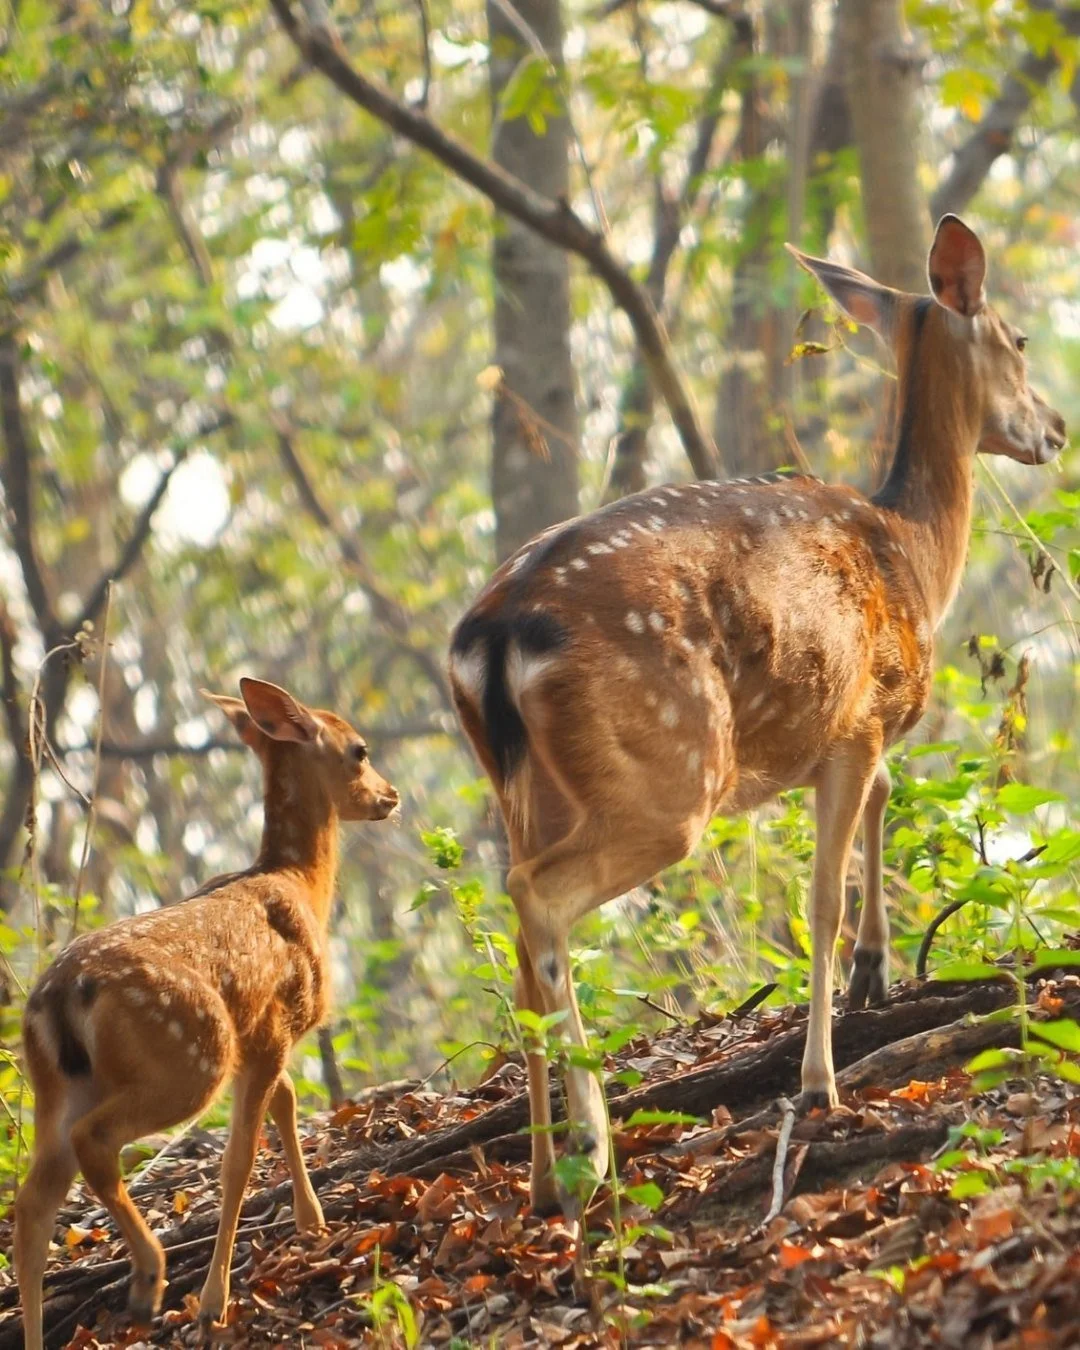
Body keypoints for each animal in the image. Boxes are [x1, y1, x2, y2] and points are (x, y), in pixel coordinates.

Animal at [14, 678, 399, 1349]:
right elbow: (238, 1160)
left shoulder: (261, 1037)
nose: (390, 796)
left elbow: (286, 1102)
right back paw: (150, 1278)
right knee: (95, 1144)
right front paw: (213, 1303)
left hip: (59, 1086)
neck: (300, 884)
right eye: (360, 750)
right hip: (190, 1059)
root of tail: (62, 996)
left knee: (30, 1208)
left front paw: (312, 1221)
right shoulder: (273, 1028)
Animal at [448, 214, 1067, 1214]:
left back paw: (542, 1177)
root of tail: (494, 636)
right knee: (536, 897)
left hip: (521, 784)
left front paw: (876, 974)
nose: (1054, 426)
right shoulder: (855, 724)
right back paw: (593, 1145)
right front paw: (820, 1080)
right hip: (669, 771)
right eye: (1015, 338)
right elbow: (821, 898)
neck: (914, 559)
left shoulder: (851, 734)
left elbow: (881, 810)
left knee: (515, 937)